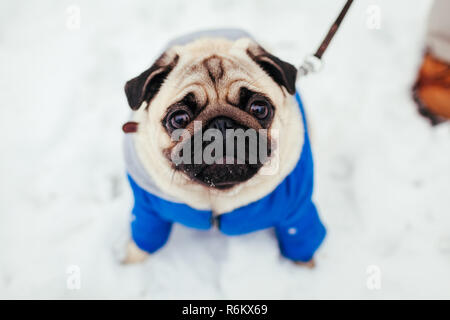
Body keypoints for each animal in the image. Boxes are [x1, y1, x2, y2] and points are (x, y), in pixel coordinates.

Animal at [122, 29, 326, 268]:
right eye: (179, 118)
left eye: (259, 108)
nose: (221, 124)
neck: (217, 196)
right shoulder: (147, 211)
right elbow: (142, 241)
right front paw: (129, 265)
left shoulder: (297, 211)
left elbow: (300, 242)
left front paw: (305, 269)